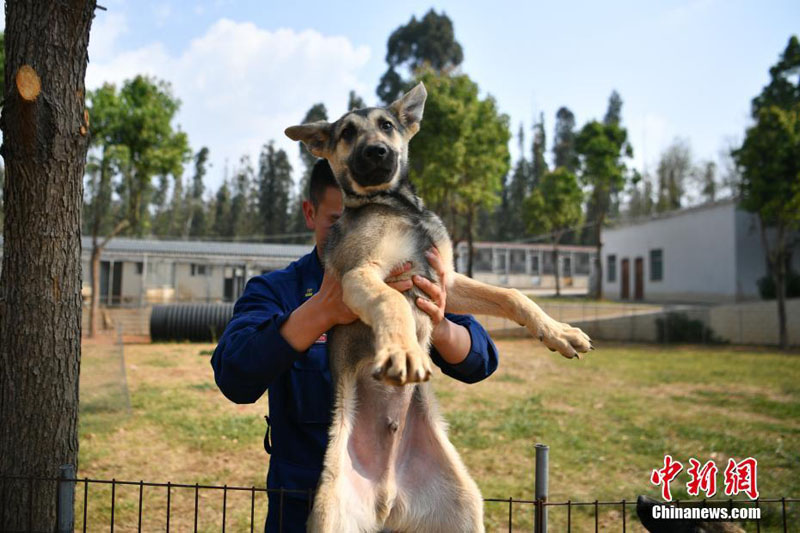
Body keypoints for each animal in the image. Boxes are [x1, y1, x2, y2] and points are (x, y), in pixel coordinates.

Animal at [284, 81, 592, 528]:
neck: (396, 206)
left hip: (464, 507)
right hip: (330, 513)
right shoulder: (358, 276)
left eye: (387, 125)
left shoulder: (446, 278)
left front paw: (559, 333)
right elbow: (392, 302)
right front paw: (403, 351)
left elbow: (512, 296)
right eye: (347, 133)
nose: (376, 152)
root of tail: (387, 495)